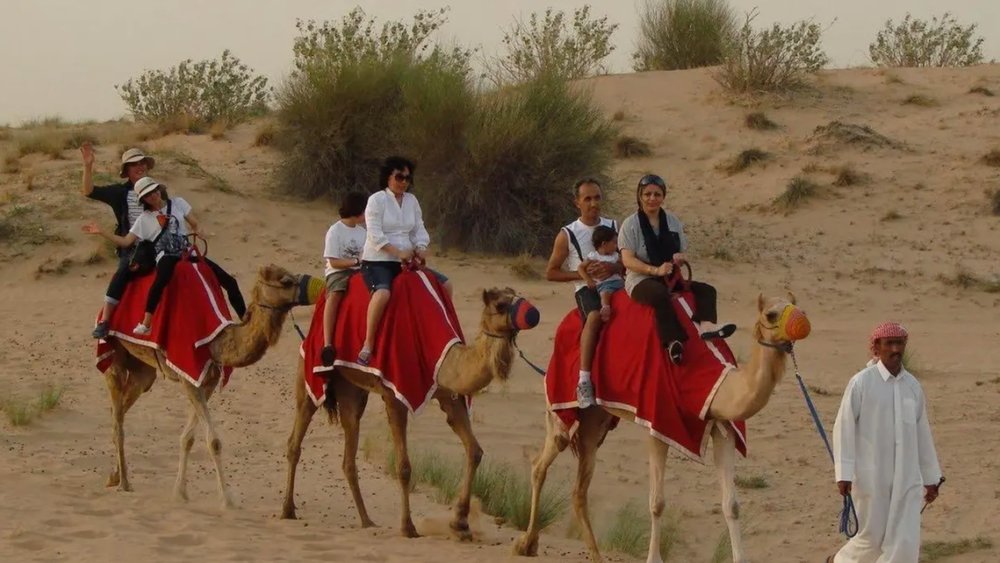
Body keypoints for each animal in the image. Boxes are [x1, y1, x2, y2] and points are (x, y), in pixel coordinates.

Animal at [101, 264, 311, 508]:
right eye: (286, 281)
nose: (312, 286)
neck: (216, 341)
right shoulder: (188, 378)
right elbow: (214, 441)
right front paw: (227, 500)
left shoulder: (208, 381)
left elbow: (188, 438)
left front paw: (180, 492)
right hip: (114, 352)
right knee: (117, 415)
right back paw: (124, 482)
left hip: (143, 371)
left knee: (121, 409)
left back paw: (114, 476)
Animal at [281, 287, 538, 539]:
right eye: (500, 305)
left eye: (517, 295)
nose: (533, 313)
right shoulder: (395, 395)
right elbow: (404, 467)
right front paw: (408, 527)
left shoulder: (448, 395)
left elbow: (475, 451)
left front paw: (460, 524)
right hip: (309, 372)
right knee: (296, 438)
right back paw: (287, 510)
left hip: (351, 389)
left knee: (348, 451)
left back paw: (367, 521)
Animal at [513, 293, 811, 563]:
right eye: (771, 314)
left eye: (797, 306)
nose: (802, 323)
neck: (711, 381)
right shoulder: (658, 423)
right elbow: (657, 502)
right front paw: (653, 558)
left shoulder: (722, 426)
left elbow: (732, 505)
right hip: (562, 401)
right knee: (544, 460)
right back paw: (526, 543)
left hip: (595, 420)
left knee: (579, 488)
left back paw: (594, 555)